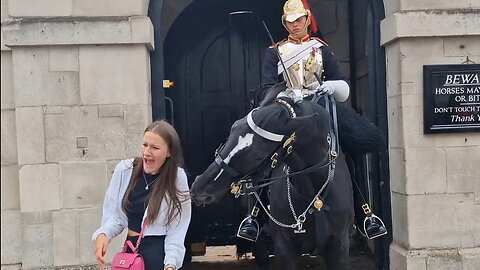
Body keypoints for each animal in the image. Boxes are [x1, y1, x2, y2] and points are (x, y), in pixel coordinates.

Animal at [190, 89, 352, 268]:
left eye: (257, 155)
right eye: (234, 128)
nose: (199, 188)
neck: (314, 195)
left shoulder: (339, 245)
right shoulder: (284, 246)